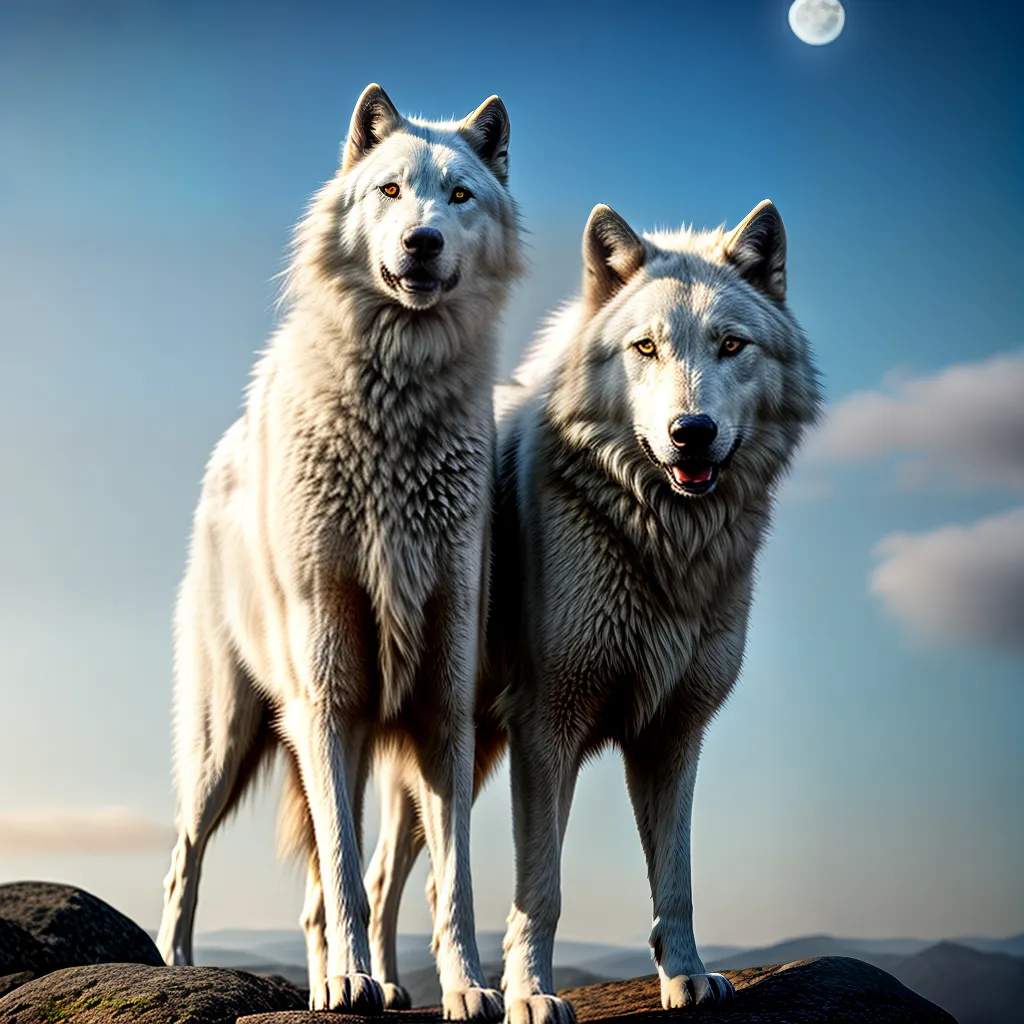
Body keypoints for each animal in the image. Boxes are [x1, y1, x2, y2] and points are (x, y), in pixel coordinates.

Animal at [155, 83, 521, 1020]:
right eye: (390, 191)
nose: (421, 241)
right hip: (229, 738)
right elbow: (350, 876)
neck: (397, 407)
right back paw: (181, 968)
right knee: (188, 856)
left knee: (323, 891)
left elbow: (452, 883)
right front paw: (351, 982)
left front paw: (466, 988)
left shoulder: (444, 711)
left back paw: (366, 982)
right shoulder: (328, 700)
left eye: (458, 196)